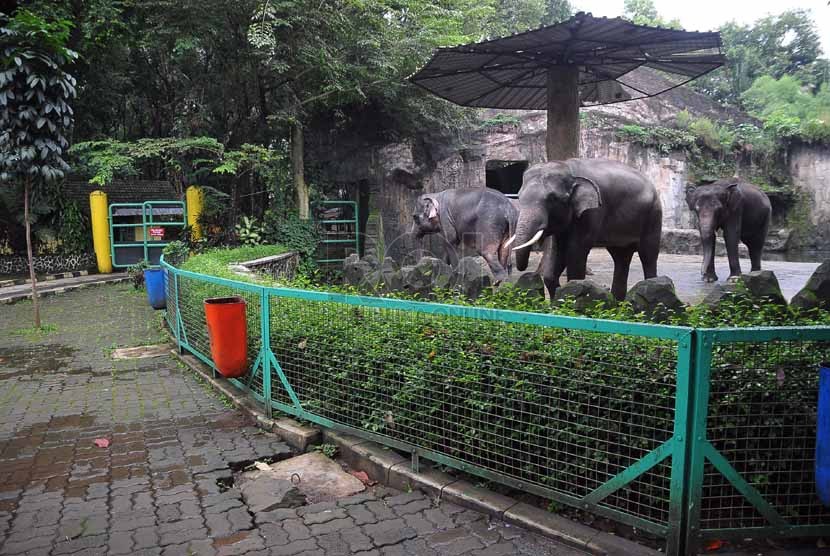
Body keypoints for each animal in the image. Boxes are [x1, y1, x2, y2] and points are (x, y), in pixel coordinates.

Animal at [510, 159, 668, 302]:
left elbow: (575, 251)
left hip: (653, 215)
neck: (569, 169)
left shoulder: (591, 212)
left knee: (648, 255)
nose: (523, 270)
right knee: (621, 257)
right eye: (519, 197)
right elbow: (557, 252)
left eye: (552, 198)